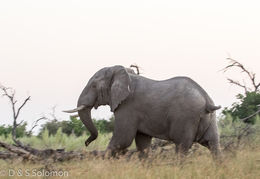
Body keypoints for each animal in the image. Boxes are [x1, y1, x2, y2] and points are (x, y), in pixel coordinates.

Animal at [64, 65, 220, 158]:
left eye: (93, 86)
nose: (86, 143)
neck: (124, 74)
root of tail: (206, 100)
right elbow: (142, 143)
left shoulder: (128, 106)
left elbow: (122, 140)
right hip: (210, 119)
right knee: (213, 145)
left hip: (186, 118)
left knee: (182, 147)